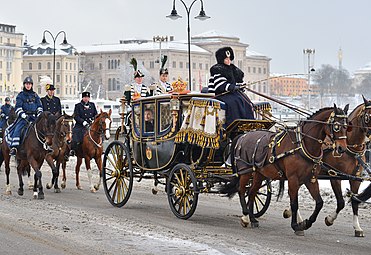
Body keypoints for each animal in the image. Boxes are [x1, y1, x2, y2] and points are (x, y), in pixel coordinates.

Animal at [219, 104, 350, 235]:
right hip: (246, 171)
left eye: (347, 126)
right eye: (336, 126)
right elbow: (294, 204)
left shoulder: (311, 179)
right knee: (241, 190)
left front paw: (306, 223)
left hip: (259, 174)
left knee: (251, 192)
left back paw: (252, 219)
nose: (342, 148)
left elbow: (319, 203)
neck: (302, 144)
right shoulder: (293, 179)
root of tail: (243, 136)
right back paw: (245, 217)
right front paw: (296, 225)